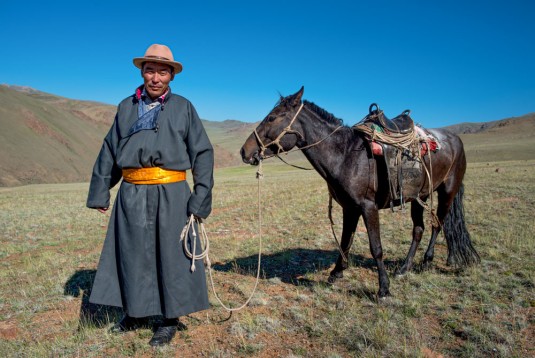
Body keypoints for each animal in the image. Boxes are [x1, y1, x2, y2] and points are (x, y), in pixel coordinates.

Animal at [241, 86, 480, 296]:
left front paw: (383, 289)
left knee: (437, 224)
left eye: (272, 117)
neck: (346, 154)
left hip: (447, 191)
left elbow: (376, 247)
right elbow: (345, 241)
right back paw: (404, 268)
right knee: (419, 229)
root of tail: (455, 139)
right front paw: (336, 273)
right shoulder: (350, 207)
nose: (245, 151)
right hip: (417, 196)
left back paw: (427, 261)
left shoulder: (368, 206)